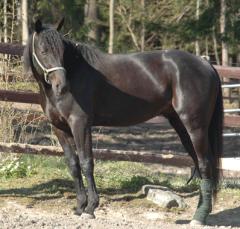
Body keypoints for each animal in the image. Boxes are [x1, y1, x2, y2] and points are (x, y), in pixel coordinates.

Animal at [23, 18, 224, 225]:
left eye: (62, 51)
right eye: (43, 50)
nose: (61, 85)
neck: (76, 72)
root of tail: (205, 63)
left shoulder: (80, 124)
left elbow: (87, 163)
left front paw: (90, 207)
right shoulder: (60, 129)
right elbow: (73, 165)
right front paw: (79, 207)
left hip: (195, 127)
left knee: (205, 164)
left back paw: (199, 217)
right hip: (182, 126)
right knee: (200, 165)